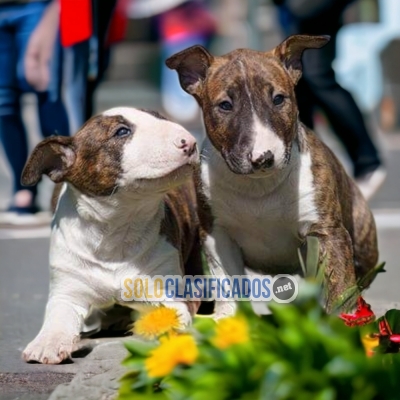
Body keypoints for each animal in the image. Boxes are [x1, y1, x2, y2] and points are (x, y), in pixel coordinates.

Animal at [166, 35, 378, 322]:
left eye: (279, 99)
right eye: (225, 105)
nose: (263, 157)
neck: (259, 186)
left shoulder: (327, 231)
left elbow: (340, 285)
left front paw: (342, 325)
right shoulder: (216, 235)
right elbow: (226, 283)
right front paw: (226, 321)